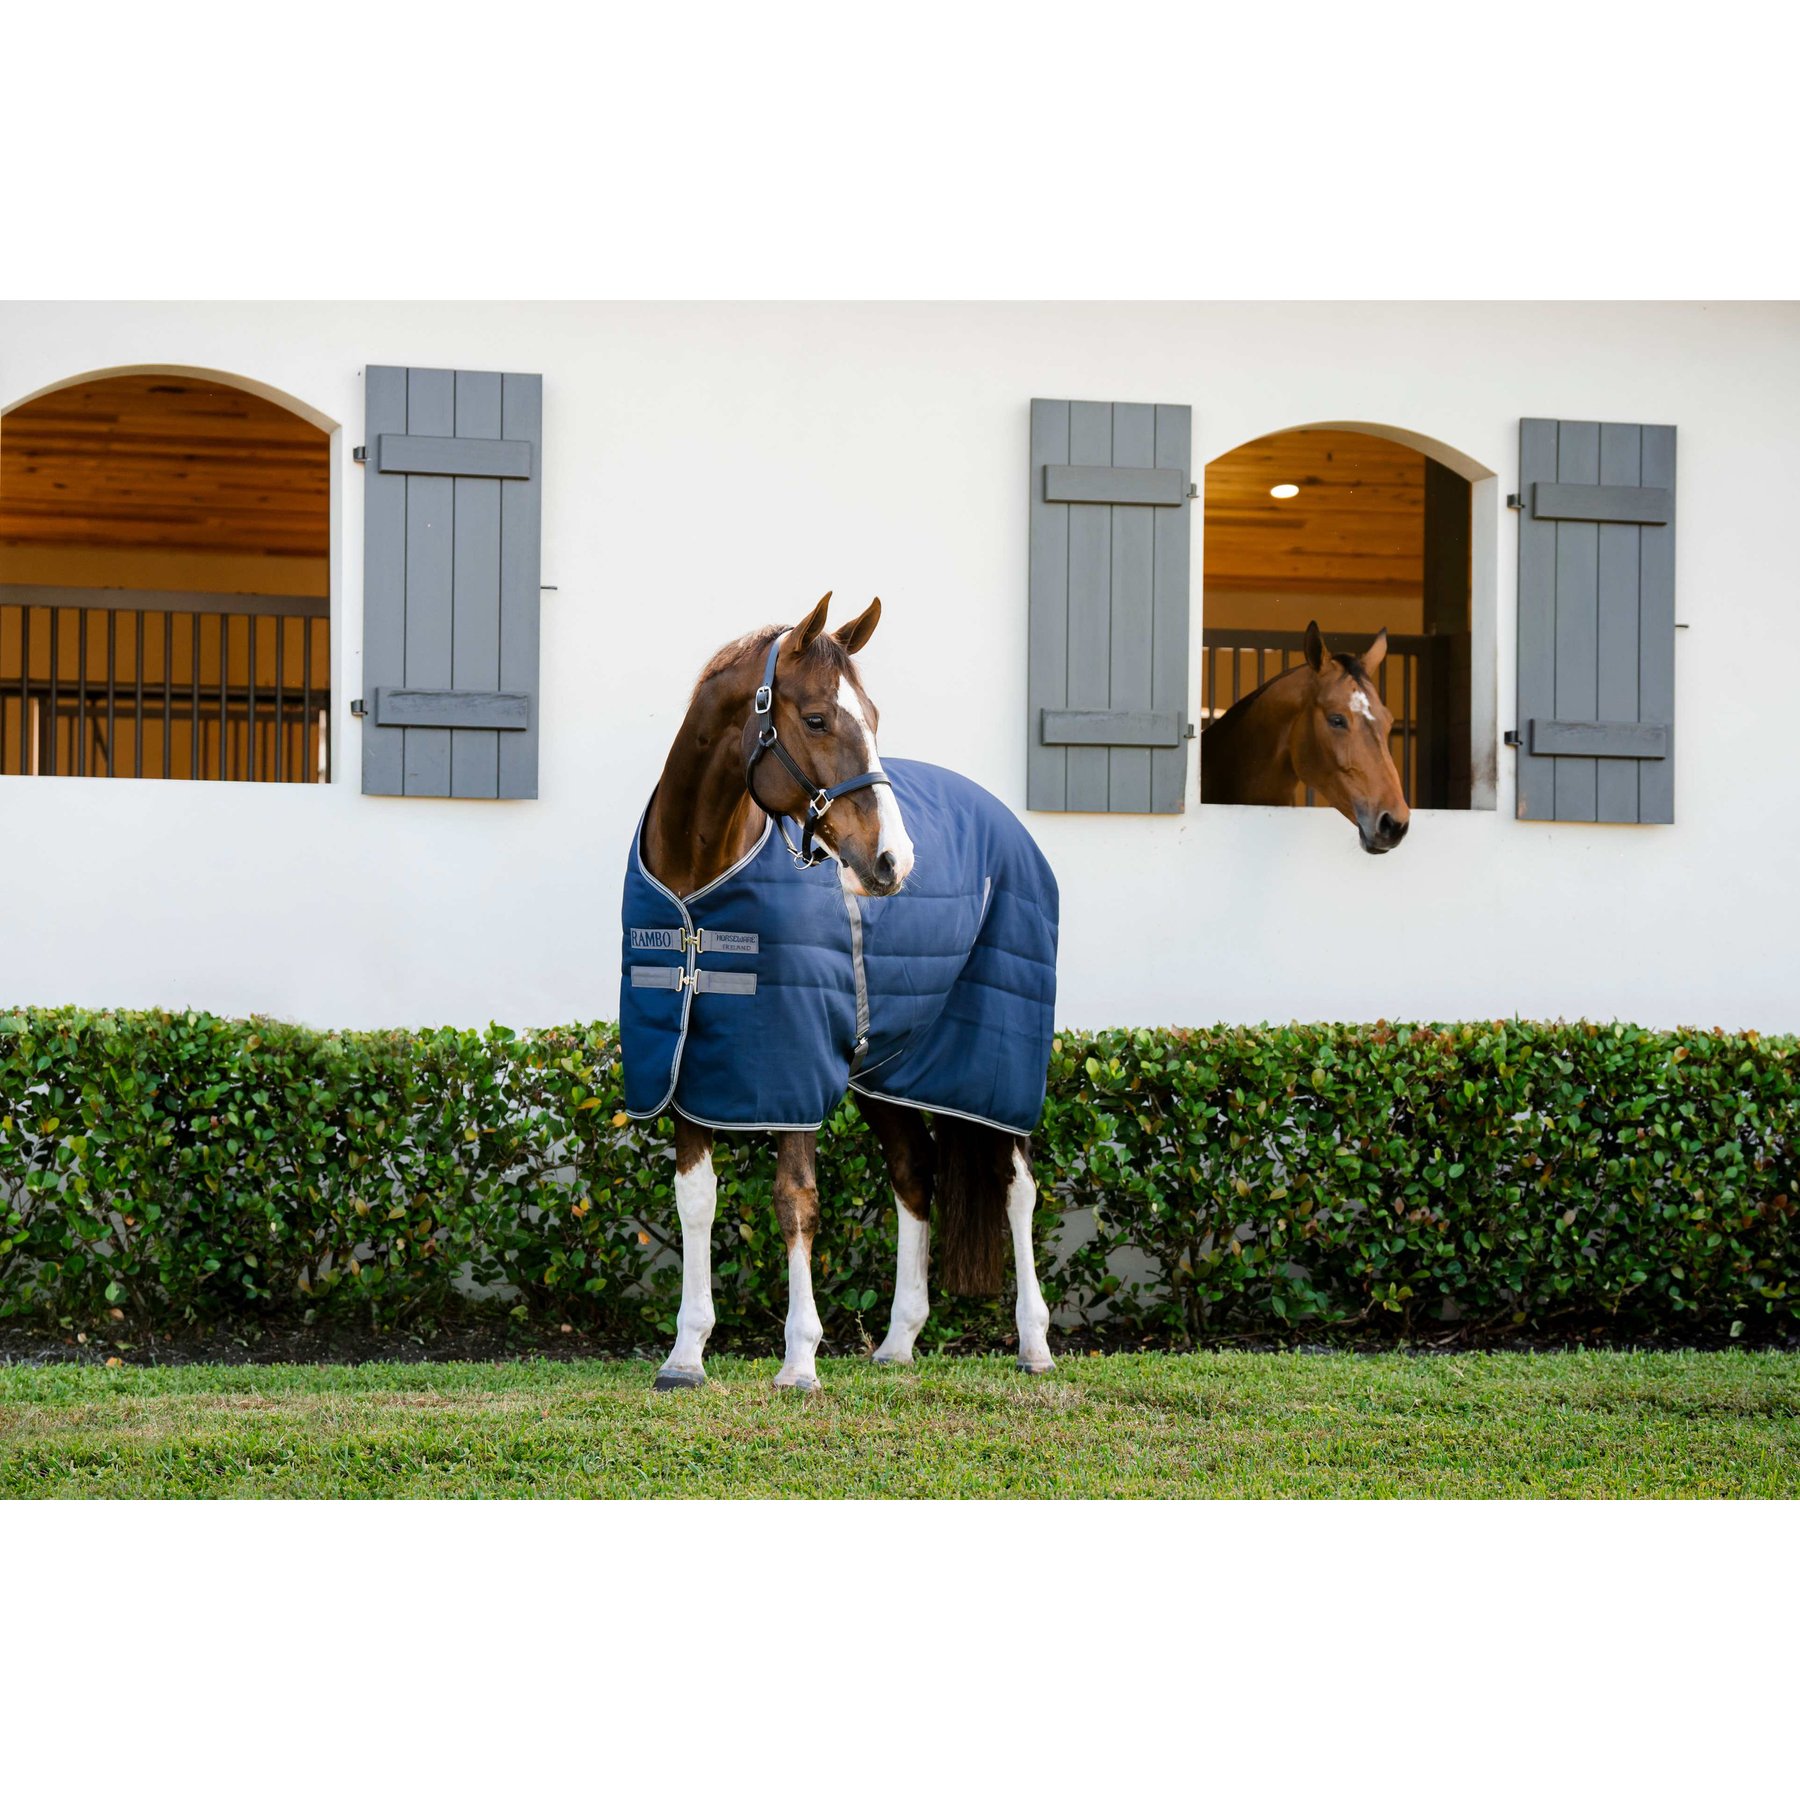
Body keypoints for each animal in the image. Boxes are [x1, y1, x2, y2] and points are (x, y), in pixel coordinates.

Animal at [619, 592, 1061, 1392]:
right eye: (820, 719)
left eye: (875, 717)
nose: (893, 860)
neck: (699, 894)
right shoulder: (685, 1068)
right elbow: (696, 1200)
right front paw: (685, 1355)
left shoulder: (792, 1069)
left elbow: (795, 1200)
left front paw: (799, 1360)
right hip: (887, 1072)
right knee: (915, 1175)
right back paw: (898, 1341)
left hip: (997, 1070)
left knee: (1016, 1185)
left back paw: (1035, 1345)